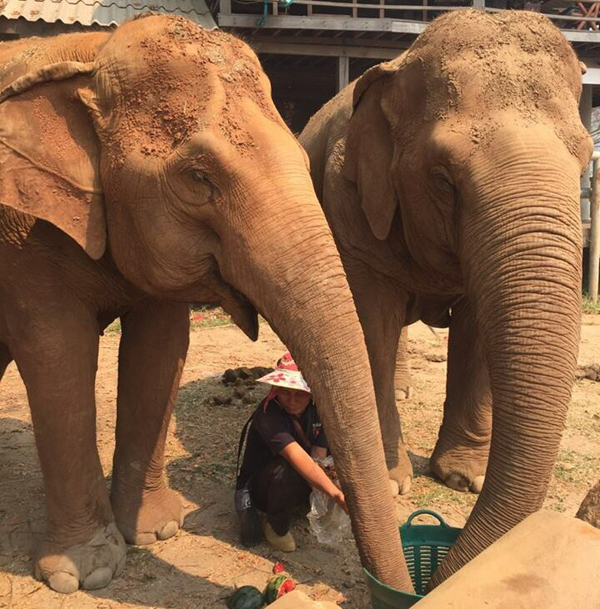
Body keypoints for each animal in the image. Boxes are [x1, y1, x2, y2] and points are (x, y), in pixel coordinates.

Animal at [0, 15, 412, 592]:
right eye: (198, 178)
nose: (394, 591)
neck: (90, 56)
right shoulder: (21, 237)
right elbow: (57, 354)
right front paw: (84, 573)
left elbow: (161, 350)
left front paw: (157, 532)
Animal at [300, 9, 592, 588]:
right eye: (442, 178)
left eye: (584, 162)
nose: (426, 584)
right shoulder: (349, 204)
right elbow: (372, 323)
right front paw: (395, 484)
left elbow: (477, 331)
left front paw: (462, 479)